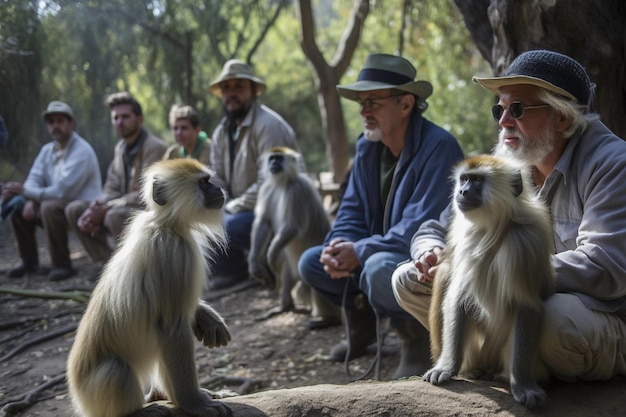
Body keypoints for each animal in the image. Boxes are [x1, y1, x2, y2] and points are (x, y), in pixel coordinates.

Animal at [66, 158, 232, 416]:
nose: (219, 189)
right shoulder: (172, 252)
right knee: (117, 367)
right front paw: (193, 403)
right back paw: (140, 409)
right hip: (95, 395)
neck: (165, 225)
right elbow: (172, 327)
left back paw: (159, 395)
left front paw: (205, 315)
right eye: (204, 183)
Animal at [422, 154, 552, 408]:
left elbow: (528, 305)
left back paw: (502, 374)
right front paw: (447, 367)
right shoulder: (466, 243)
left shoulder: (524, 242)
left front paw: (522, 384)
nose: (462, 191)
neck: (493, 229)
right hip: (476, 352)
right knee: (445, 271)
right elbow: (457, 298)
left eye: (478, 181)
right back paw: (469, 371)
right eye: (464, 179)